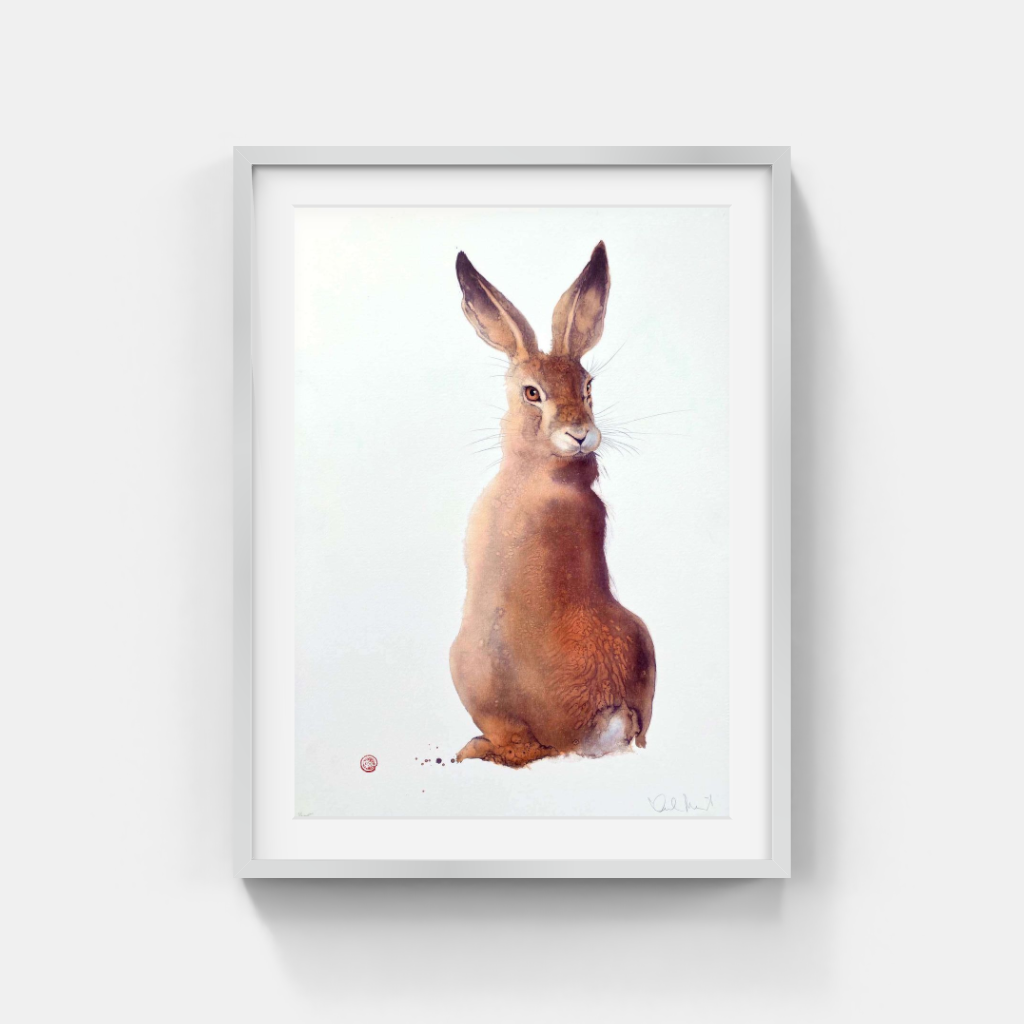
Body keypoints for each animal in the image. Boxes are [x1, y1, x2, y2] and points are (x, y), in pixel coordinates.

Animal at [450, 241, 656, 768]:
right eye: (532, 393)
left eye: (588, 386)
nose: (580, 434)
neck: (546, 474)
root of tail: (605, 719)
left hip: (467, 666)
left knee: (522, 748)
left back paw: (473, 750)